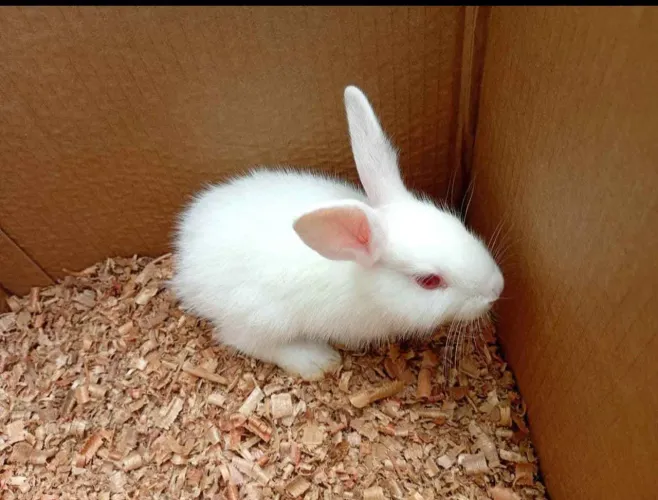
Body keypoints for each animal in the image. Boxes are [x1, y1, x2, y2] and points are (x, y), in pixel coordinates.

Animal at [170, 85, 504, 381]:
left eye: (458, 222)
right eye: (429, 281)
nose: (497, 289)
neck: (365, 282)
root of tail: (186, 253)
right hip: (261, 315)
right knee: (245, 340)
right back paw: (316, 360)